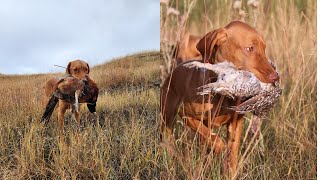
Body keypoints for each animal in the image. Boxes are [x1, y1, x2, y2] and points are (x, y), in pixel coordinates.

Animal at [161, 20, 278, 177]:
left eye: (264, 49)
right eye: (250, 48)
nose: (276, 77)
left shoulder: (236, 124)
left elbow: (232, 155)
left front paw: (229, 172)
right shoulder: (186, 115)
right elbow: (215, 140)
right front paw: (216, 148)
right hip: (166, 120)